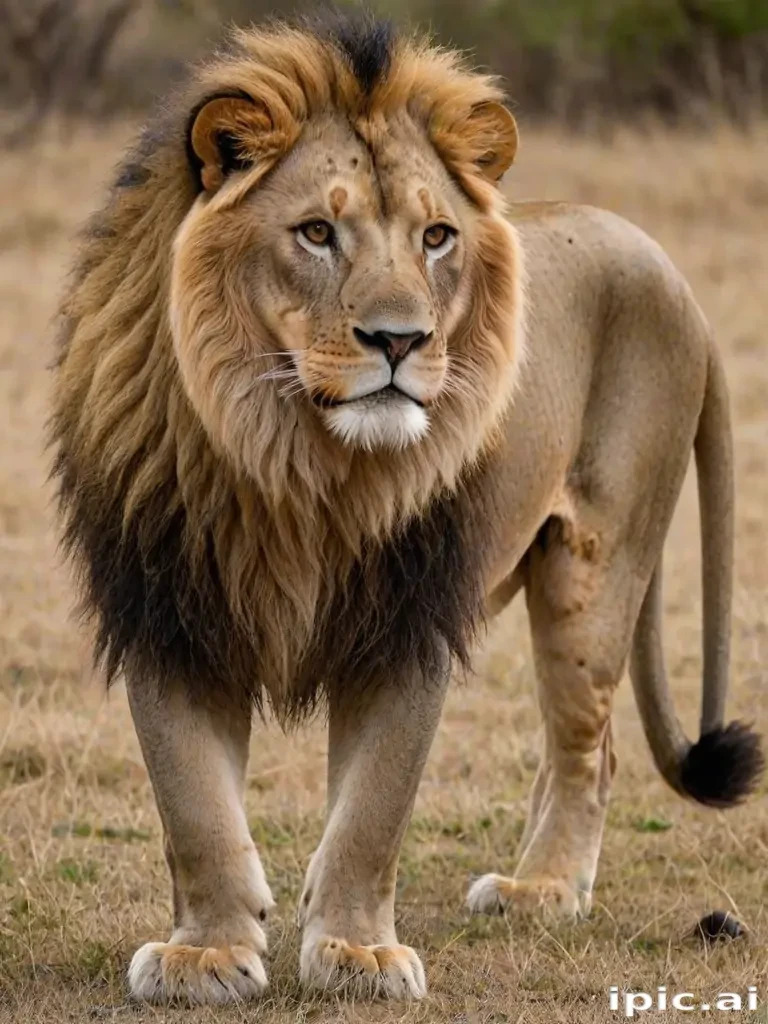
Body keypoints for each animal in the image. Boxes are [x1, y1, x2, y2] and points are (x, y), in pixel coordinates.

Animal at [49, 10, 762, 1005]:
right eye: (316, 232)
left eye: (435, 237)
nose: (401, 339)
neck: (296, 461)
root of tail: (671, 271)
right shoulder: (170, 604)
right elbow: (192, 802)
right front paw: (210, 955)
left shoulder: (408, 618)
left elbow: (374, 812)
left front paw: (356, 953)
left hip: (596, 564)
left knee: (589, 746)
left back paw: (543, 890)